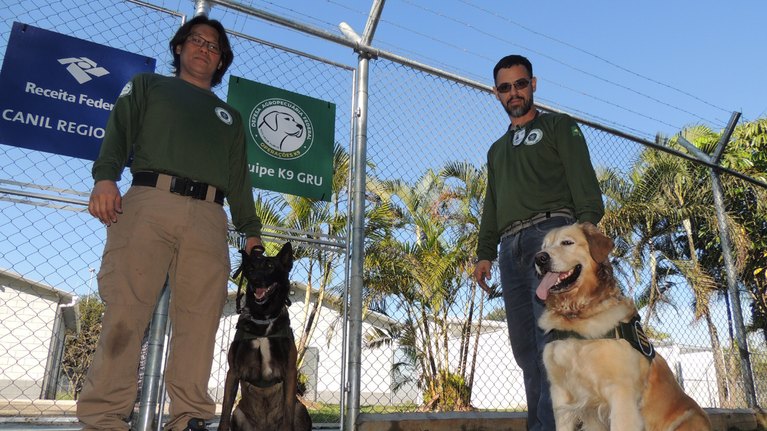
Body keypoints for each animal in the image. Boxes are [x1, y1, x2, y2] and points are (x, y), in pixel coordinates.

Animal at [218, 243, 310, 431]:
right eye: (250, 268)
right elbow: (224, 413)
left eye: (270, 266)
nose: (254, 279)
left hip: (301, 408)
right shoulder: (233, 371)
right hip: (238, 414)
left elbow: (288, 413)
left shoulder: (290, 371)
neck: (263, 318)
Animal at [536, 224, 708, 430]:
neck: (578, 317)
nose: (539, 258)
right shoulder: (560, 394)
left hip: (689, 418)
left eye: (567, 242)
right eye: (544, 246)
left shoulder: (621, 394)